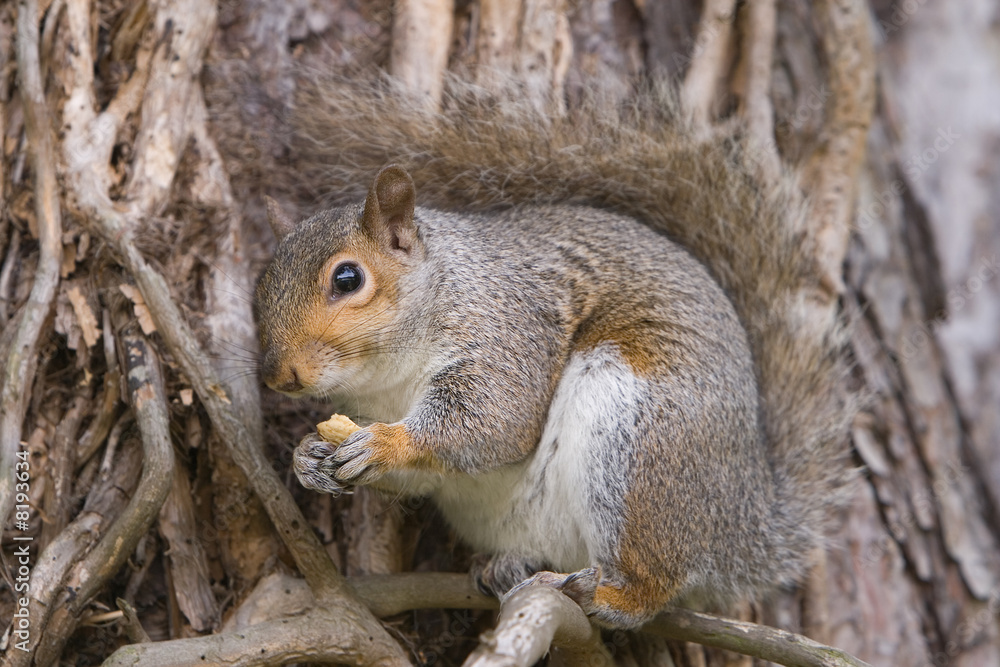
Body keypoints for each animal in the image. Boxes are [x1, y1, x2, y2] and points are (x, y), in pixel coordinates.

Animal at [252, 77, 855, 629]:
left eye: (348, 278)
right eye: (260, 283)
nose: (278, 376)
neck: (387, 380)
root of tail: (746, 524)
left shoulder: (508, 333)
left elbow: (494, 422)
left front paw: (385, 443)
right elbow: (425, 474)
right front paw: (308, 456)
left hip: (641, 446)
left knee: (655, 582)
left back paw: (606, 597)